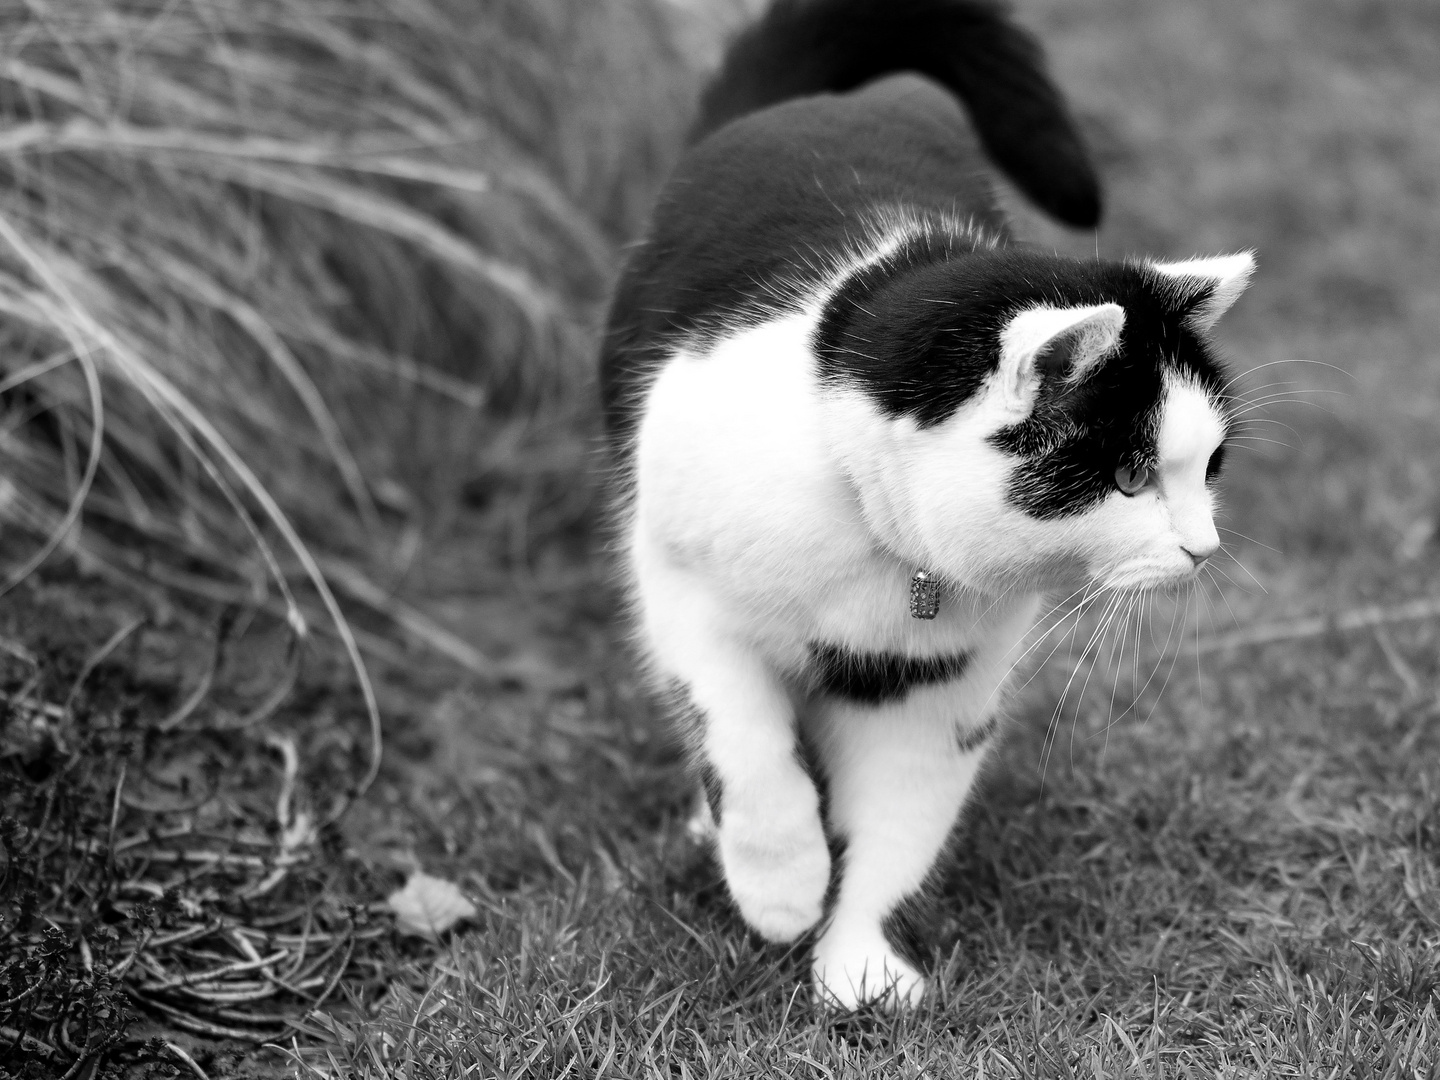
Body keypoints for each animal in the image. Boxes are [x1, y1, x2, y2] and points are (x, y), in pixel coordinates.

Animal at [596, 0, 1249, 1013]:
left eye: (1208, 465)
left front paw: (857, 962)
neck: (873, 540)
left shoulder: (937, 687)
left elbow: (899, 825)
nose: (1202, 546)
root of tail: (814, 104)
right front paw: (779, 883)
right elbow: (739, 736)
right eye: (1131, 476)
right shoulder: (680, 585)